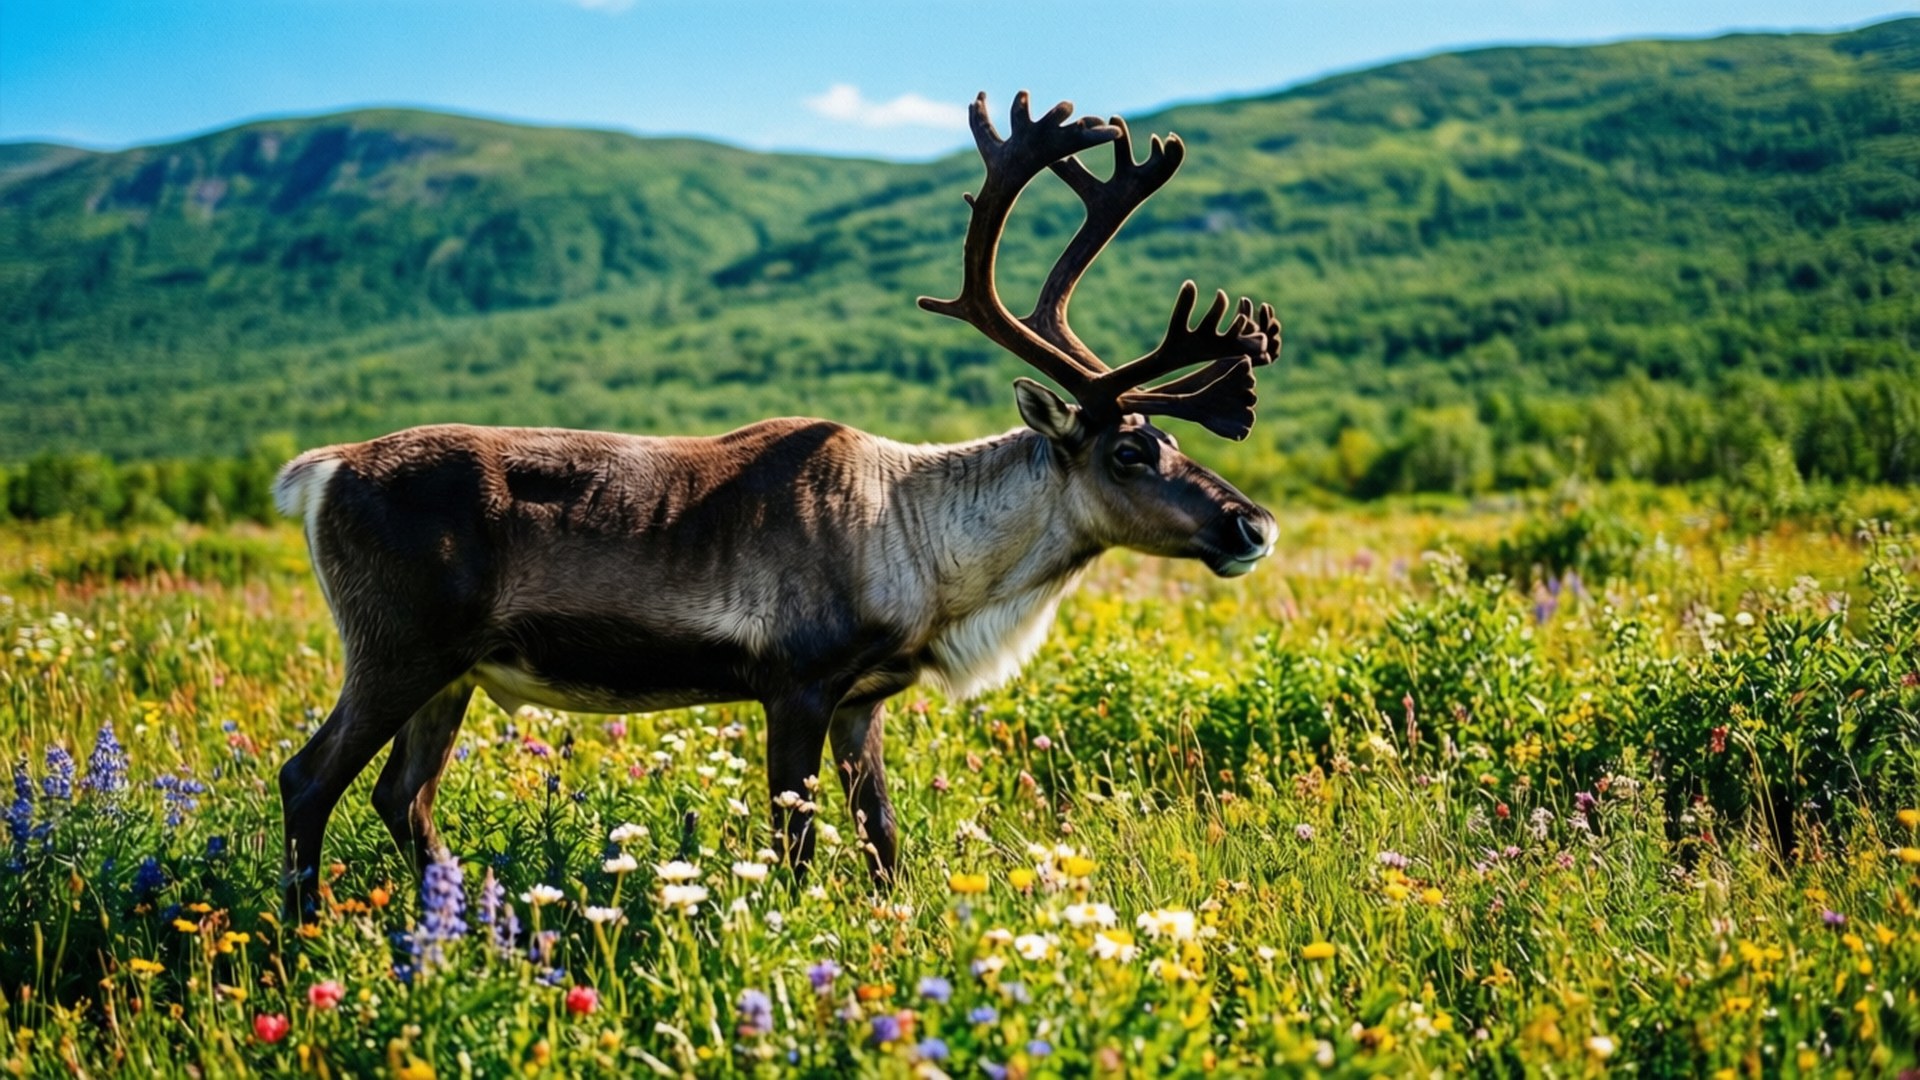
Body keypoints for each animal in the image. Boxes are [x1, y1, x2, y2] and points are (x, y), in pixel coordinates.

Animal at [272, 92, 1280, 919]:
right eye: (1127, 451)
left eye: (1175, 441)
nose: (1254, 525)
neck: (925, 548)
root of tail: (321, 469)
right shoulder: (793, 684)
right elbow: (793, 847)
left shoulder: (863, 701)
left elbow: (882, 840)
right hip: (395, 649)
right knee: (307, 778)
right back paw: (304, 936)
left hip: (452, 674)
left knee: (401, 795)